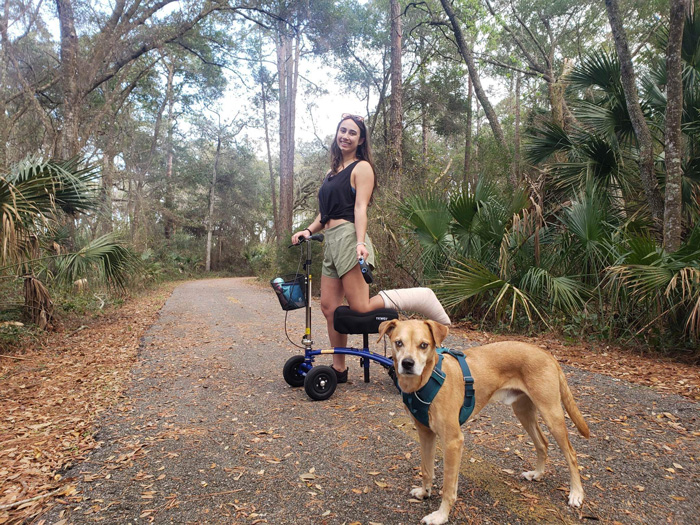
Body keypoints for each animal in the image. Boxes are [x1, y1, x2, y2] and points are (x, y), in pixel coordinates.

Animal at [378, 320, 592, 524]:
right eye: (398, 343)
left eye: (424, 345)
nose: (407, 363)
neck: (427, 379)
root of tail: (546, 353)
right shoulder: (425, 433)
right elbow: (426, 470)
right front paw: (425, 493)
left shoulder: (453, 441)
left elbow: (448, 488)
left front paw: (440, 516)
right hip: (523, 411)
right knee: (543, 443)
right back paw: (537, 474)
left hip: (551, 414)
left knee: (571, 454)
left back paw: (576, 493)